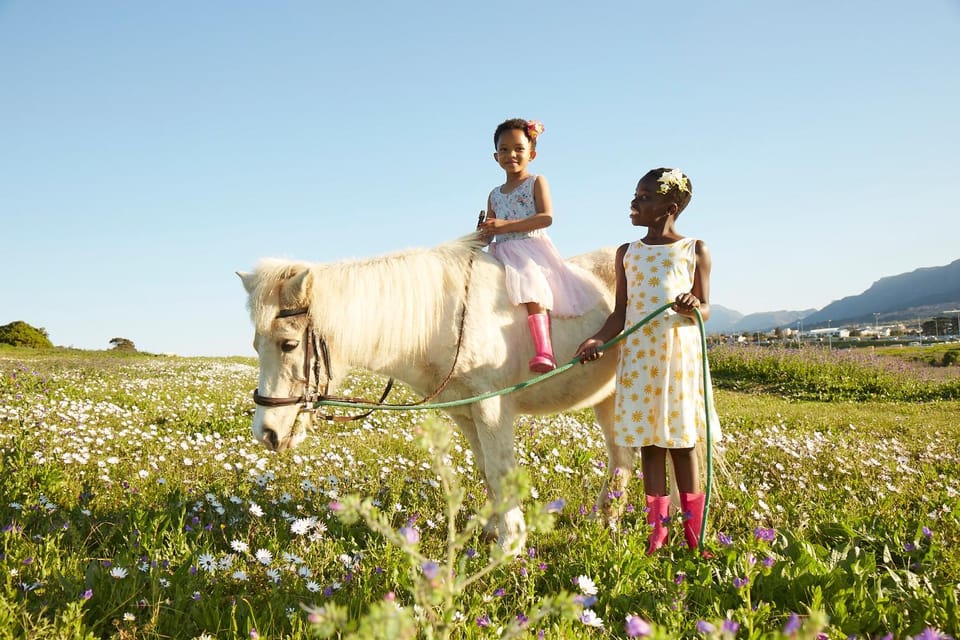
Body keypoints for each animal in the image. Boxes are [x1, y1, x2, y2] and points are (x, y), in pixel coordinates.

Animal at [237, 233, 640, 549]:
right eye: (255, 345)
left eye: (288, 344)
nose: (266, 433)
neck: (444, 319)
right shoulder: (466, 412)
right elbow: (485, 469)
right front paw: (491, 530)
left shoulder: (492, 407)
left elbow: (499, 469)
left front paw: (510, 542)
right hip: (608, 398)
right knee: (620, 456)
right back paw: (606, 519)